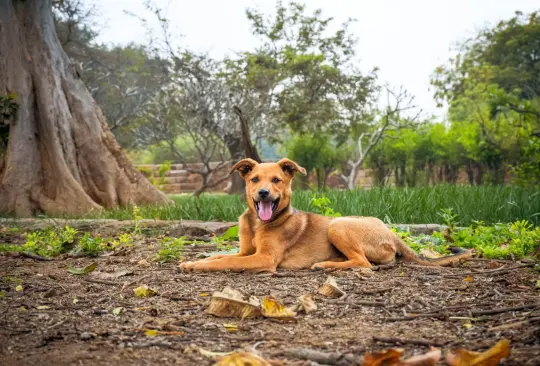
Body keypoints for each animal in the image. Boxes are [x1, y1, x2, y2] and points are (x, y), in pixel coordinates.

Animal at [179, 157, 470, 272]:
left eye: (276, 180)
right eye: (254, 179)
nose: (262, 193)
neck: (257, 224)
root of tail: (391, 233)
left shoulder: (264, 258)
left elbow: (224, 261)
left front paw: (197, 266)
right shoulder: (246, 252)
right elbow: (219, 255)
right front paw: (192, 261)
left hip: (338, 225)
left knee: (364, 263)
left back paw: (325, 265)